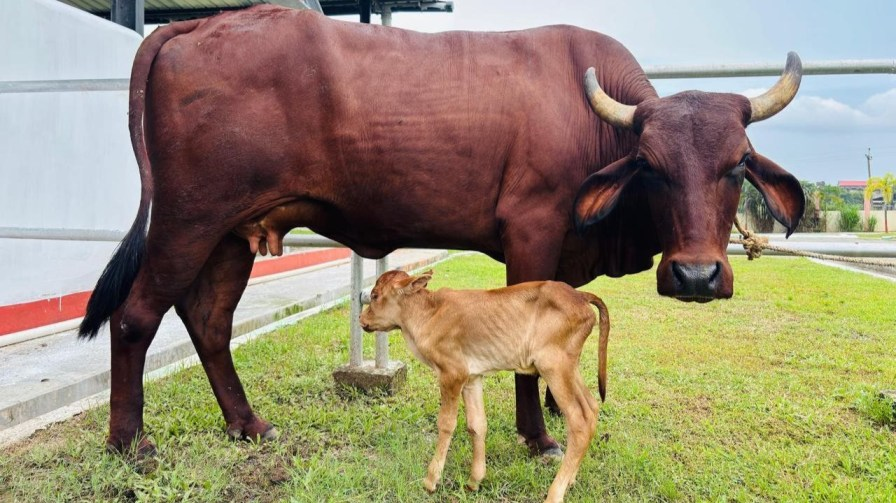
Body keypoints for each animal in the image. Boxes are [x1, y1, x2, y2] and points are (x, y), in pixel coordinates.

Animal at [79, 5, 805, 456]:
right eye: (650, 166)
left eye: (737, 162)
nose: (696, 275)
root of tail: (202, 23)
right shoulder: (531, 230)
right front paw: (538, 436)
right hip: (188, 220)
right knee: (136, 316)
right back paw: (129, 443)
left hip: (233, 232)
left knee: (209, 321)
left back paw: (248, 424)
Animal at [359, 270, 611, 503]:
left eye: (375, 295)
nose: (361, 319)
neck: (429, 313)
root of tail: (579, 295)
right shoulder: (472, 377)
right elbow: (477, 425)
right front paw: (474, 480)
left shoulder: (452, 374)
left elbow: (446, 424)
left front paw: (431, 480)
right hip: (569, 368)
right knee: (592, 407)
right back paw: (571, 479)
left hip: (554, 367)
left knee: (579, 419)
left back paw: (555, 493)